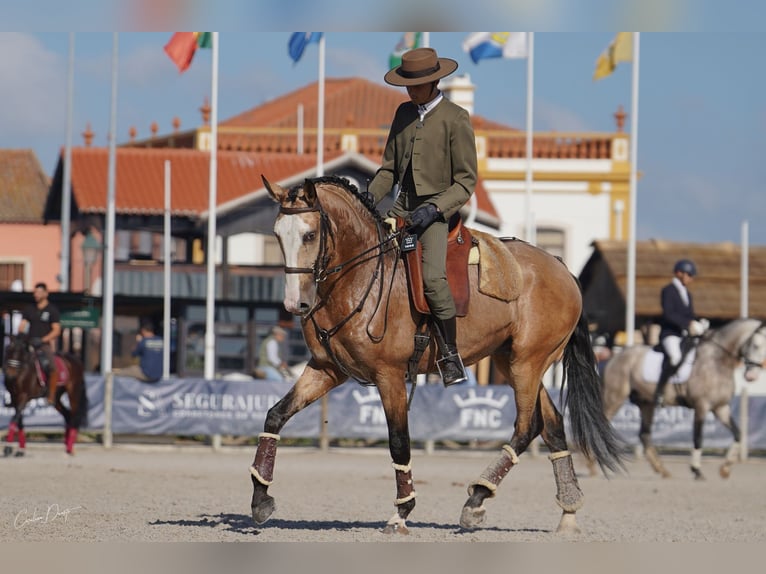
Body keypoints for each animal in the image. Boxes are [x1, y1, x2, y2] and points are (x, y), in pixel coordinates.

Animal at [249, 178, 628, 536]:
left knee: (526, 427)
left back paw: (477, 498)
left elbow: (399, 442)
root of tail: (560, 266)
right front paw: (260, 497)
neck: (358, 278)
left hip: (528, 362)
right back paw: (568, 510)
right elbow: (275, 416)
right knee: (551, 425)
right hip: (512, 362)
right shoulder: (326, 370)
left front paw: (402, 511)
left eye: (310, 234)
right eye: (277, 235)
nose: (295, 304)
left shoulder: (389, 376)